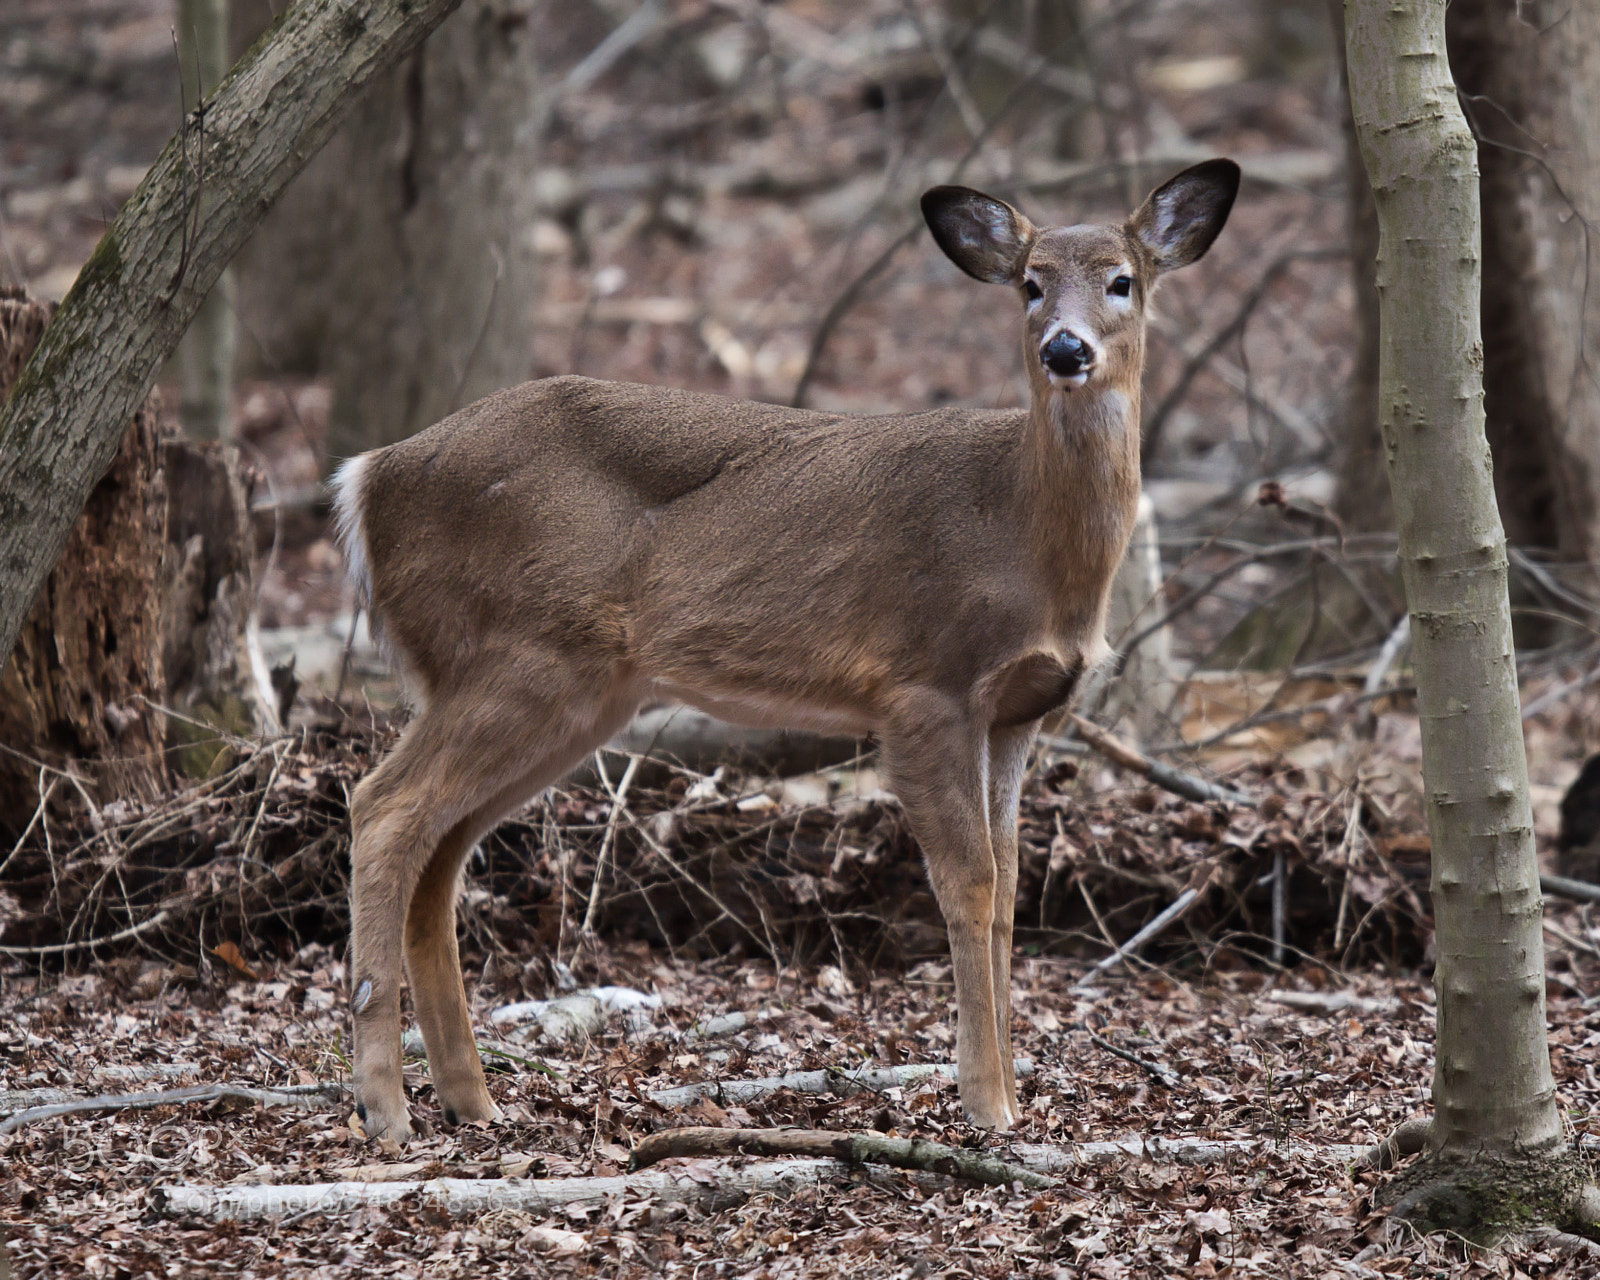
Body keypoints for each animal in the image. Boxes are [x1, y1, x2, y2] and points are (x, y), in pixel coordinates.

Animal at [330, 159, 1240, 1142]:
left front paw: (1006, 1097)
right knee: (384, 807)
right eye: (1030, 285)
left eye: (1123, 280)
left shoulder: (1019, 711)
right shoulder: (925, 685)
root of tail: (368, 477)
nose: (1065, 350)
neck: (1023, 531)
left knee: (440, 852)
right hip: (519, 654)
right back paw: (385, 1108)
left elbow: (1008, 892)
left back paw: (473, 1099)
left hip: (566, 688)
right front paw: (987, 1104)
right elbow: (969, 883)